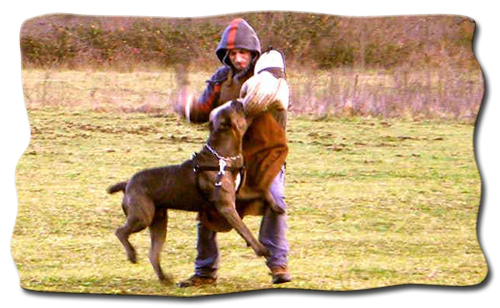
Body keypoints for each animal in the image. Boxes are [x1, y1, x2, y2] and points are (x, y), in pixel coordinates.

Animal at [107, 99, 282, 284]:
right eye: (234, 107)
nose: (237, 100)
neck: (223, 156)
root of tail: (127, 184)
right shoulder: (227, 206)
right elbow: (244, 229)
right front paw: (261, 249)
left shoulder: (239, 193)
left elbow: (263, 191)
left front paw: (277, 207)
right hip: (142, 216)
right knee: (120, 232)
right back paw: (132, 255)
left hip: (159, 221)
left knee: (153, 253)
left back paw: (164, 278)